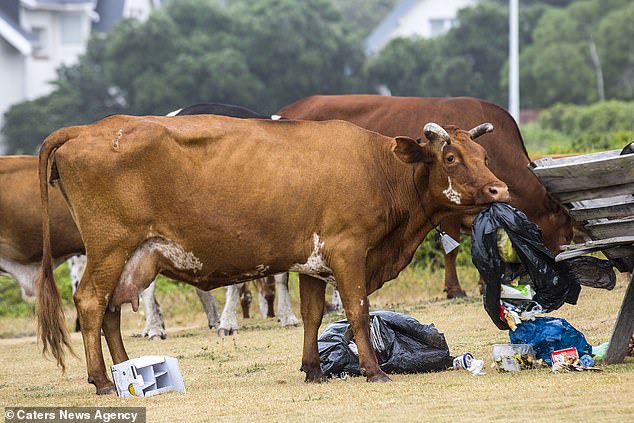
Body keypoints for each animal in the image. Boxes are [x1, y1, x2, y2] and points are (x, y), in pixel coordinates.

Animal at [276, 96, 572, 300]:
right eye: (563, 230)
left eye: (484, 156)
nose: (561, 268)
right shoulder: (450, 208)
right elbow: (452, 248)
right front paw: (455, 289)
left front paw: (483, 283)